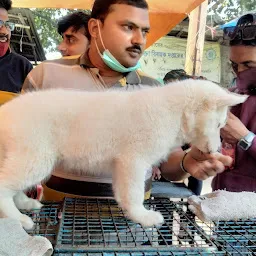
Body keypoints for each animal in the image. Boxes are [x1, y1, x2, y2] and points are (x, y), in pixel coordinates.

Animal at [0, 79, 246, 228]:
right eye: (219, 124)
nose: (215, 150)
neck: (175, 114)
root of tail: (6, 111)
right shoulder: (134, 162)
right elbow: (134, 194)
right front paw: (143, 216)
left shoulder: (121, 165)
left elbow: (123, 193)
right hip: (35, 159)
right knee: (4, 187)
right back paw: (17, 219)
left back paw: (25, 204)